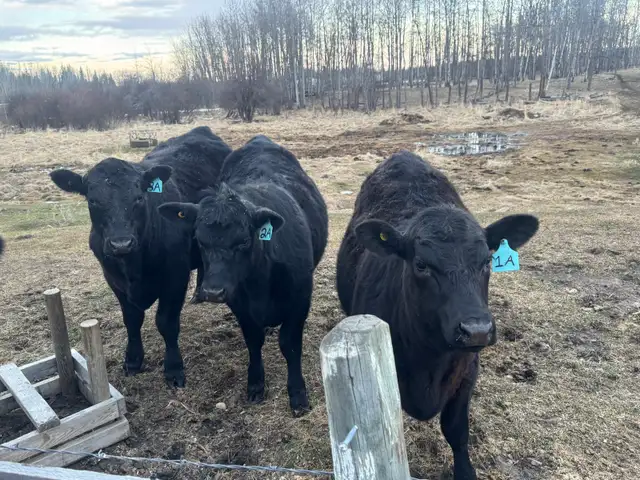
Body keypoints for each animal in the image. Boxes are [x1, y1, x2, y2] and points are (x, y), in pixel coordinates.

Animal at [49, 126, 232, 388]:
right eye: (93, 201)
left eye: (138, 198)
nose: (121, 243)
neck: (133, 264)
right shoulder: (113, 279)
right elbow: (132, 319)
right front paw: (133, 360)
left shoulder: (175, 277)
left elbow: (166, 322)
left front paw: (173, 368)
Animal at [158, 134, 328, 416]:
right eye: (200, 240)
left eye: (244, 241)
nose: (213, 291)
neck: (260, 281)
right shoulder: (240, 305)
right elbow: (253, 340)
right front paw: (256, 384)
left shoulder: (300, 300)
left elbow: (290, 345)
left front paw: (297, 394)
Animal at [336, 151, 539, 479]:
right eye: (421, 264)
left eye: (487, 261)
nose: (477, 329)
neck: (428, 357)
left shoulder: (467, 371)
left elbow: (456, 430)